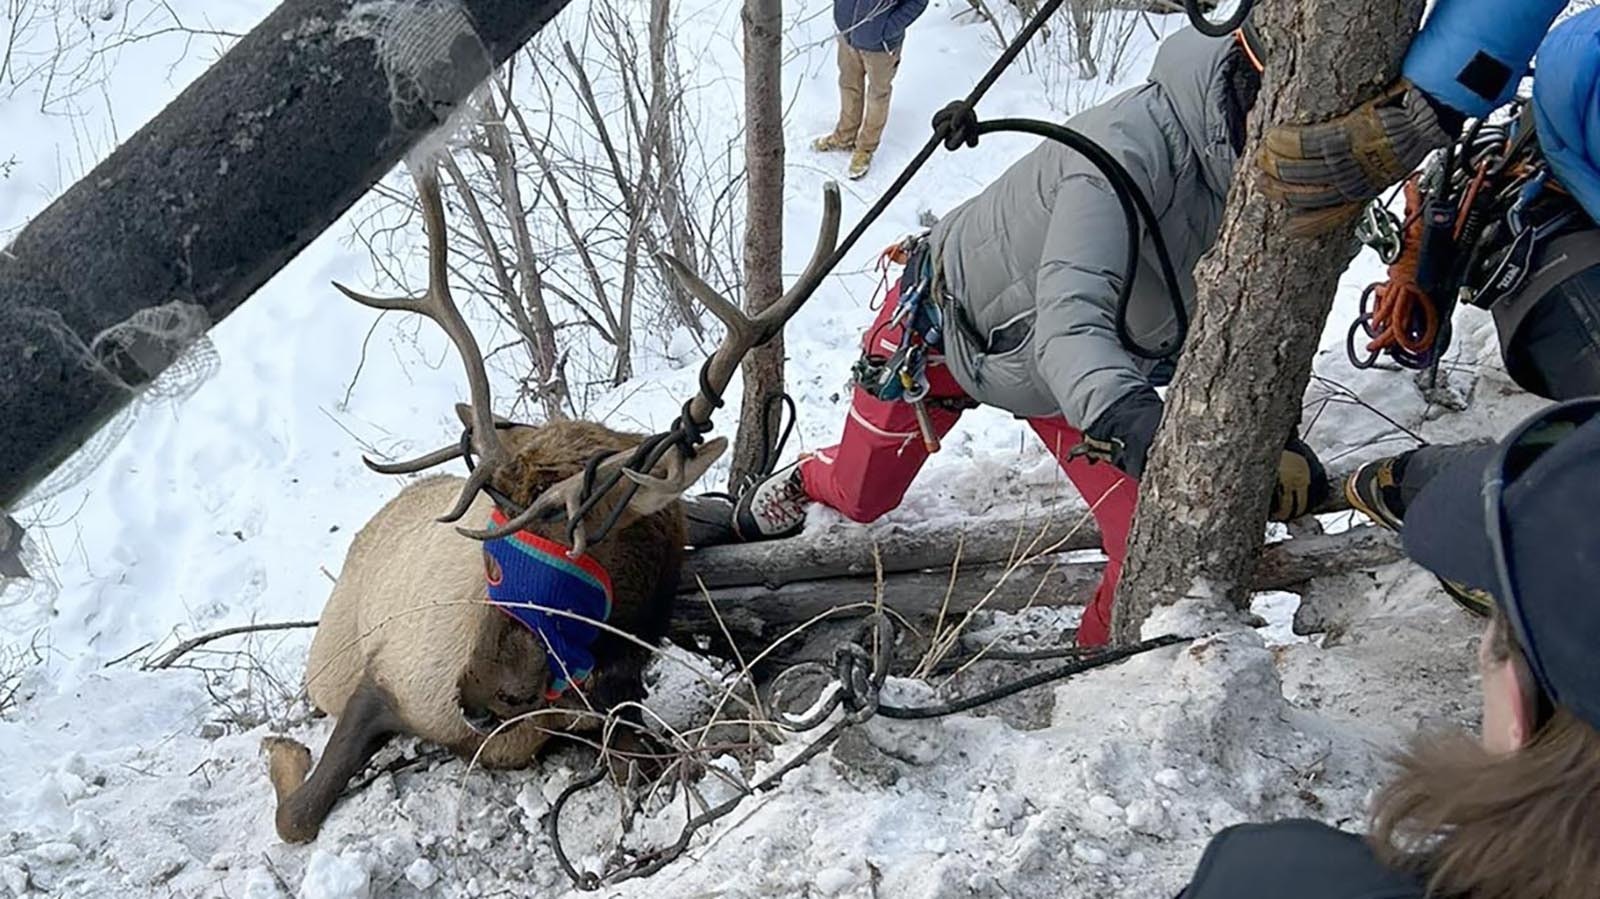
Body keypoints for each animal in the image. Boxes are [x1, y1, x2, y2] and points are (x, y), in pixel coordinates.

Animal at [265, 162, 838, 838]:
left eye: (579, 540)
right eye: (493, 546)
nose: (476, 696)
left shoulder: (615, 706)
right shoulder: (384, 679)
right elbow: (296, 816)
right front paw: (283, 750)